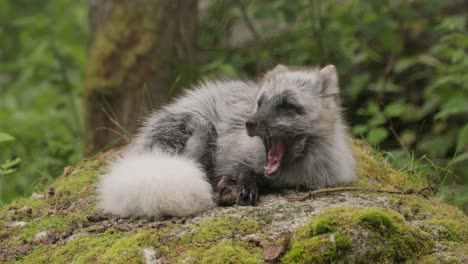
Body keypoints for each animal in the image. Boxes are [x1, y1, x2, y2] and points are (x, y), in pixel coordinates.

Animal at [98, 65, 354, 218]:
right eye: (260, 103)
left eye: (288, 106)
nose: (249, 123)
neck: (288, 175)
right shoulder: (234, 159)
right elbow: (244, 171)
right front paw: (245, 185)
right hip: (201, 129)